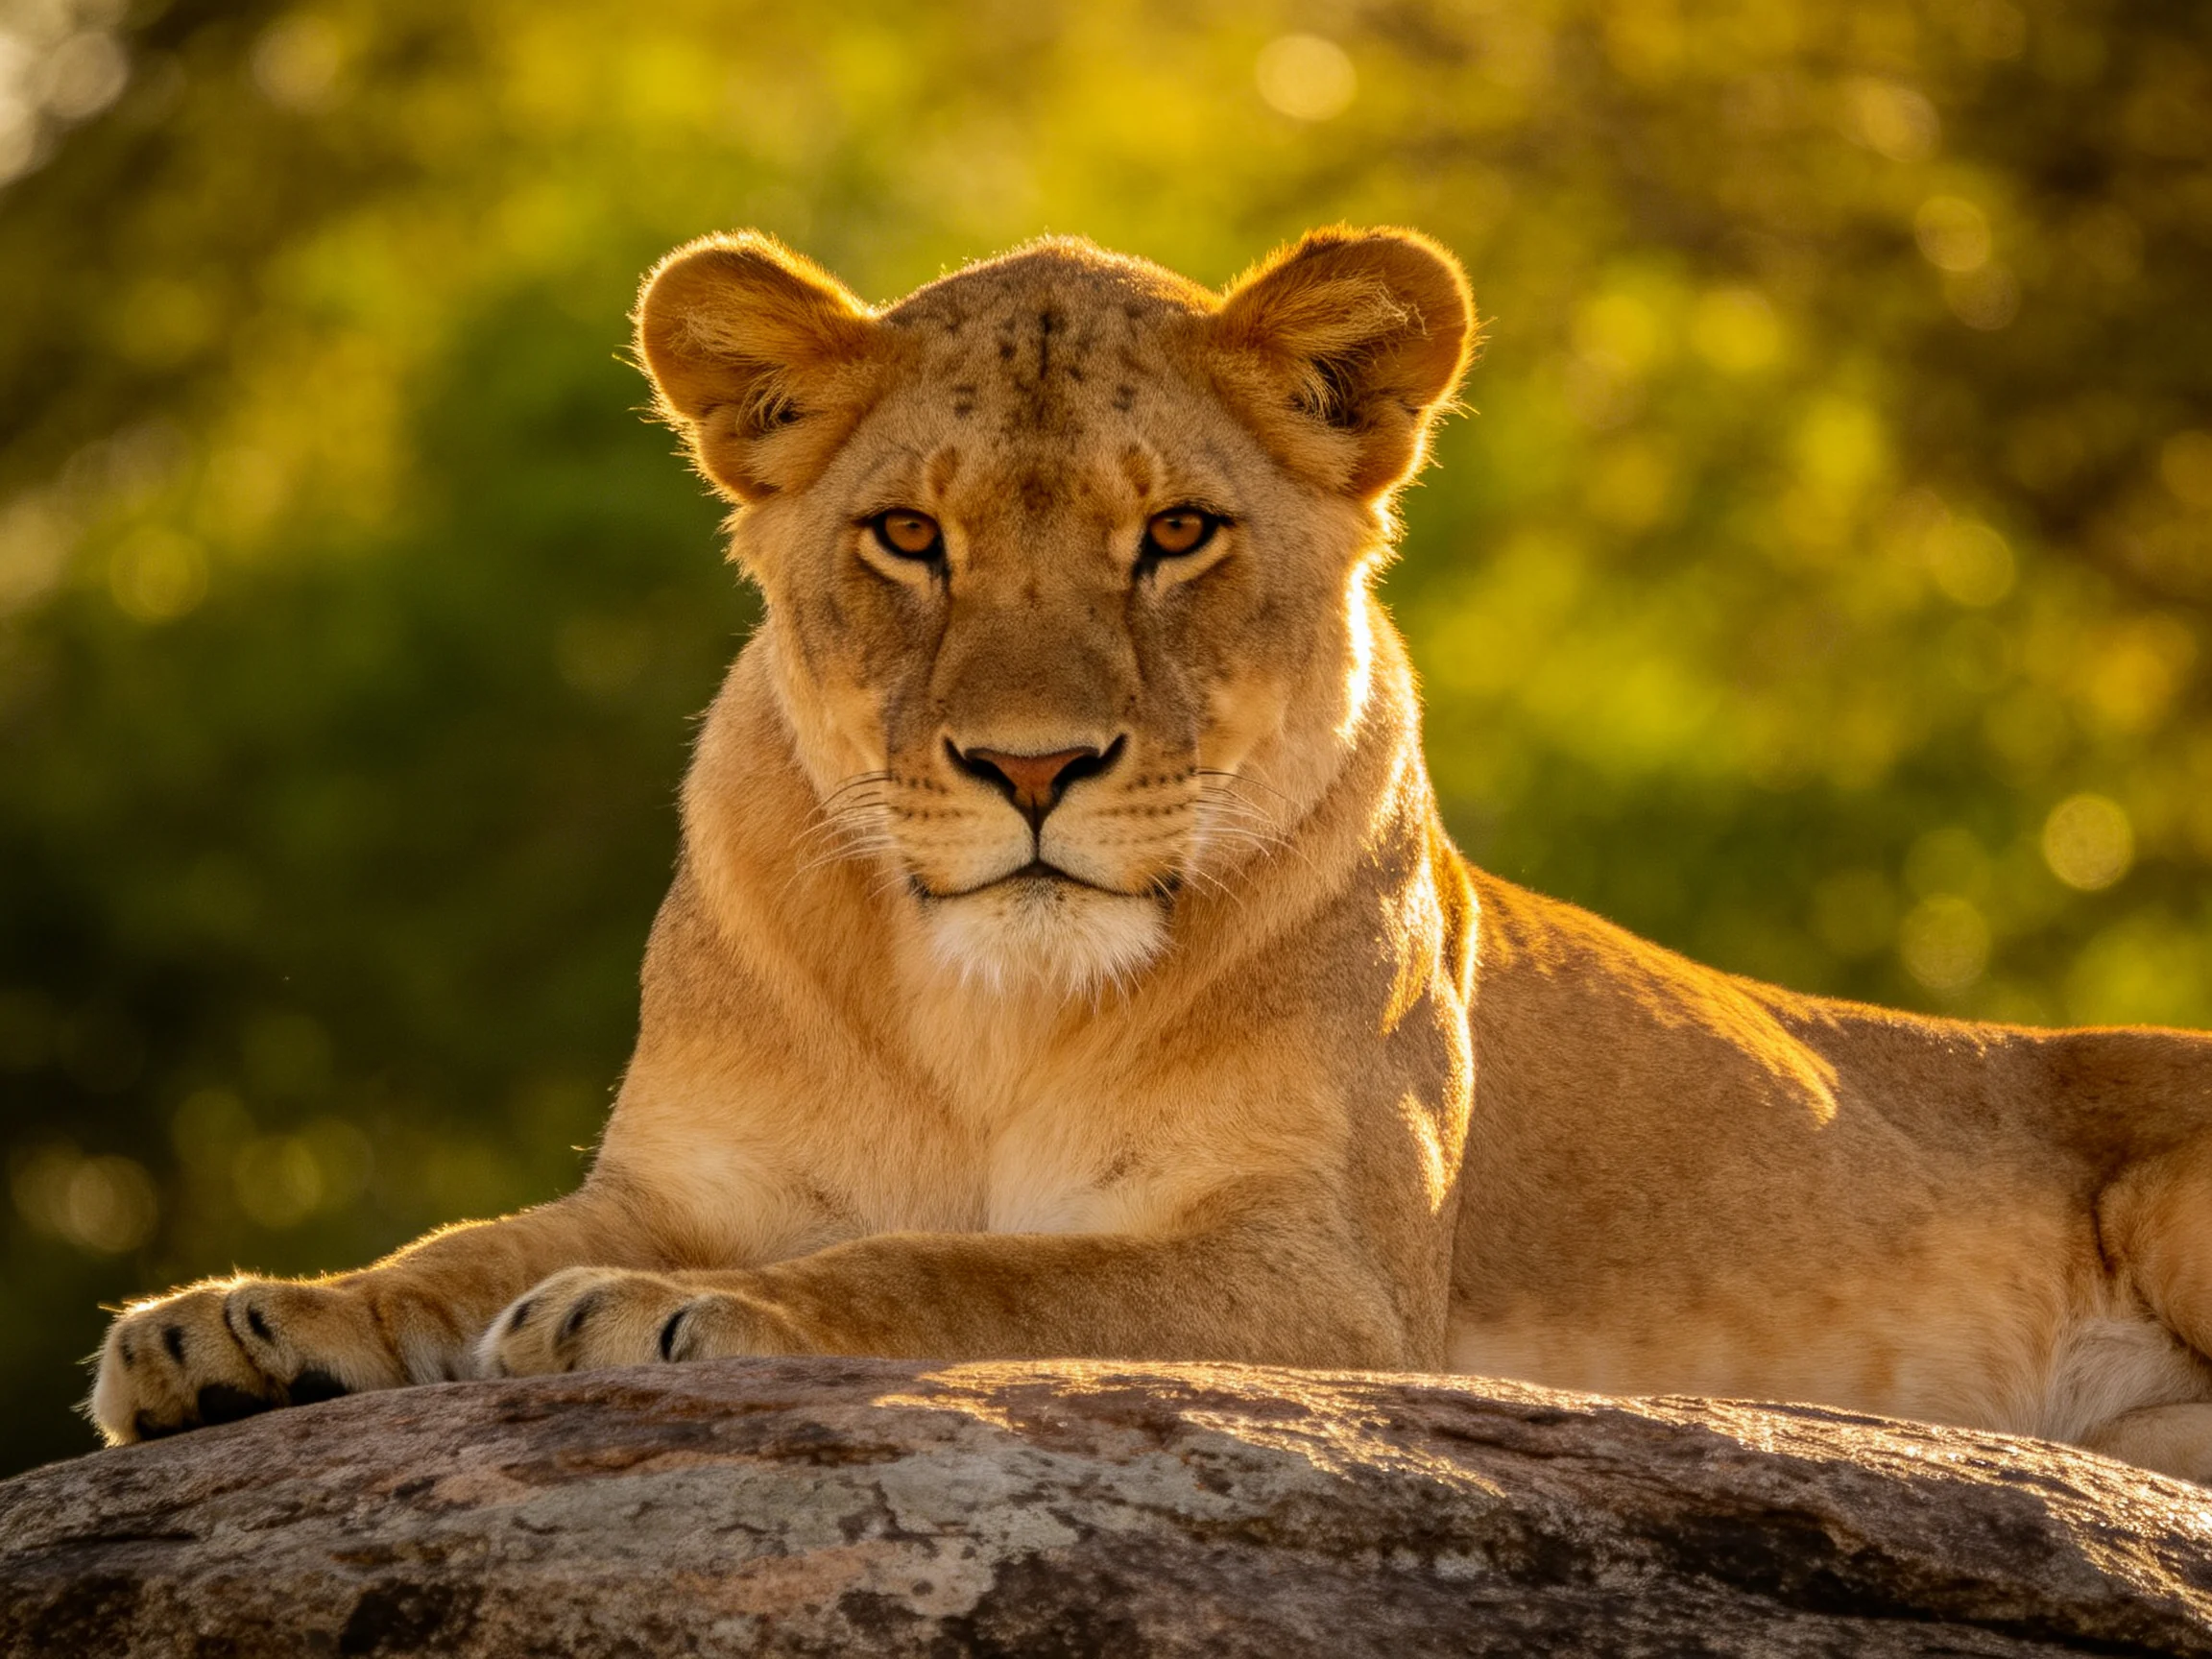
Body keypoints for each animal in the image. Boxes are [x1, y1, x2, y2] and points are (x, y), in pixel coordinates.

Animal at [88, 226, 2212, 1484]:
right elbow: (454, 1255)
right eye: (909, 536)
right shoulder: (682, 1176)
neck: (981, 1003)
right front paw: (237, 1329)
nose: (1032, 766)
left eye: (1176, 533)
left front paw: (687, 1323)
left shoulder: (1324, 1280)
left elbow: (970, 1274)